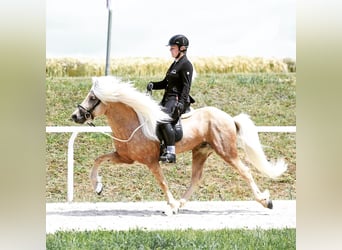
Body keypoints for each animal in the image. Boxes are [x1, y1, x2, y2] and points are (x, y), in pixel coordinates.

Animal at [71, 76, 286, 215]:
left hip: (226, 151)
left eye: (92, 98)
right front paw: (97, 187)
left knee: (245, 172)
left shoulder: (151, 162)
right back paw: (181, 204)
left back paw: (265, 201)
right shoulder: (125, 157)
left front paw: (171, 204)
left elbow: (162, 182)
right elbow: (98, 159)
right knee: (196, 178)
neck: (135, 122)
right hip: (201, 152)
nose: (75, 116)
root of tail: (229, 118)